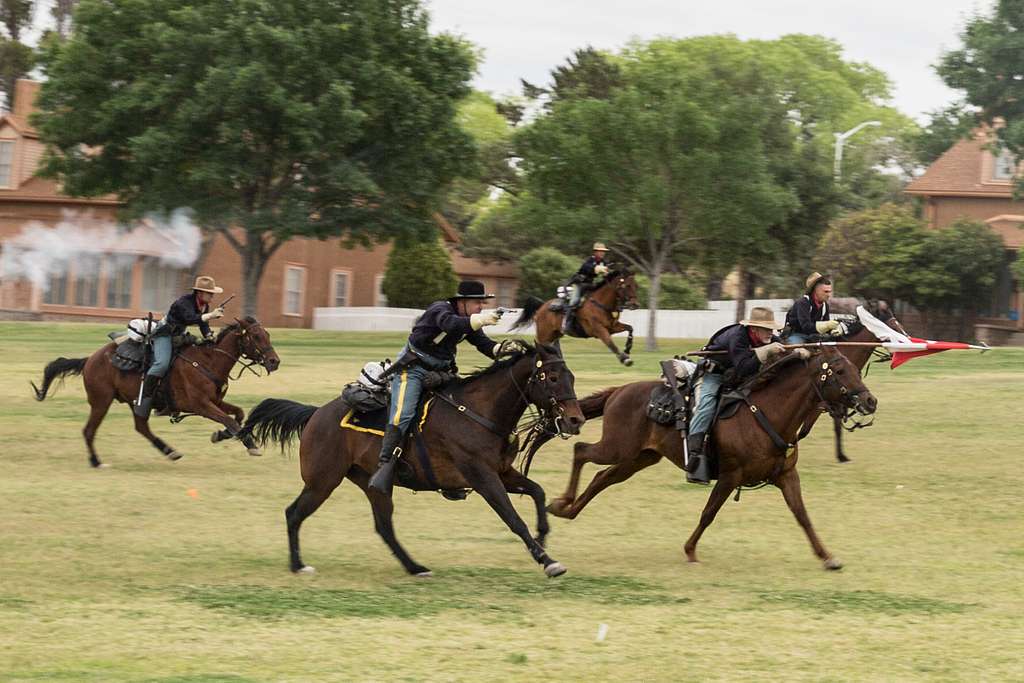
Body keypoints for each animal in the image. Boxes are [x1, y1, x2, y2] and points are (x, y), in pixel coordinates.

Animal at [32, 317, 280, 466]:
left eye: (267, 334)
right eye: (256, 336)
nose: (274, 361)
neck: (207, 361)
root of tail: (89, 360)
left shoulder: (215, 401)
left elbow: (237, 415)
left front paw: (221, 435)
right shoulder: (200, 405)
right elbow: (229, 420)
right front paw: (251, 446)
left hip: (137, 403)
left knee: (141, 427)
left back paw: (170, 451)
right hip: (101, 402)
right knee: (89, 431)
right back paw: (96, 461)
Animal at [240, 344, 589, 581]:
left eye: (571, 376)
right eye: (552, 377)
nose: (576, 420)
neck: (478, 412)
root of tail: (315, 414)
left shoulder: (502, 472)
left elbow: (537, 491)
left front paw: (542, 538)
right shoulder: (484, 478)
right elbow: (513, 519)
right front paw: (547, 560)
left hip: (372, 485)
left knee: (383, 526)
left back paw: (414, 567)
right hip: (322, 482)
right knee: (294, 513)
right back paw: (298, 565)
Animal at [548, 348, 876, 573]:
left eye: (853, 367)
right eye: (839, 370)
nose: (870, 400)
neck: (766, 414)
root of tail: (620, 391)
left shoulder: (786, 476)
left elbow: (802, 515)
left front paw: (827, 557)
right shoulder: (731, 476)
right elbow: (709, 513)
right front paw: (690, 551)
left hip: (638, 458)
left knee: (602, 477)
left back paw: (567, 510)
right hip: (616, 448)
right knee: (581, 450)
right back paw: (562, 501)